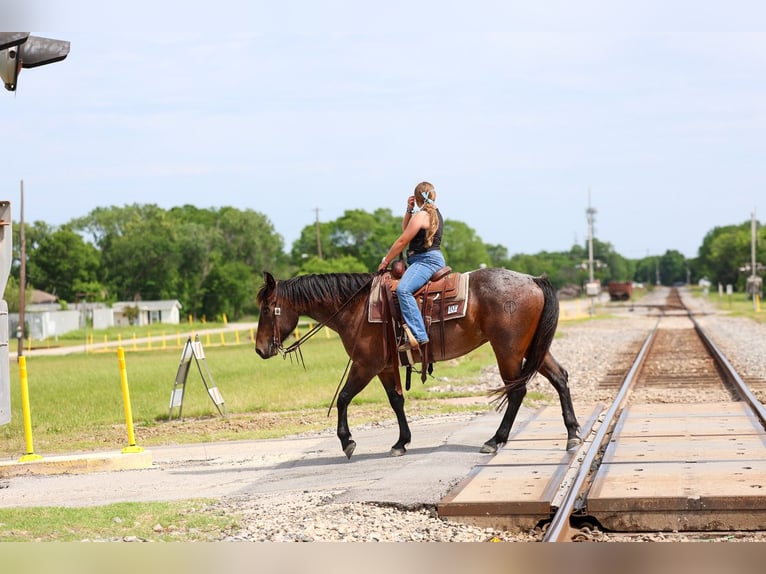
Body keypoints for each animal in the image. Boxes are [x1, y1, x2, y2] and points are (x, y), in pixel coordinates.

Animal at [254, 268, 580, 459]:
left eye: (268, 309)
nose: (259, 349)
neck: (356, 307)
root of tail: (533, 280)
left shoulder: (365, 365)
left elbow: (344, 398)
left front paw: (347, 442)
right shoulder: (385, 367)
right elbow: (396, 401)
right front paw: (401, 442)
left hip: (508, 350)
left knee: (517, 391)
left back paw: (495, 440)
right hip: (532, 348)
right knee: (560, 377)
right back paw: (573, 435)